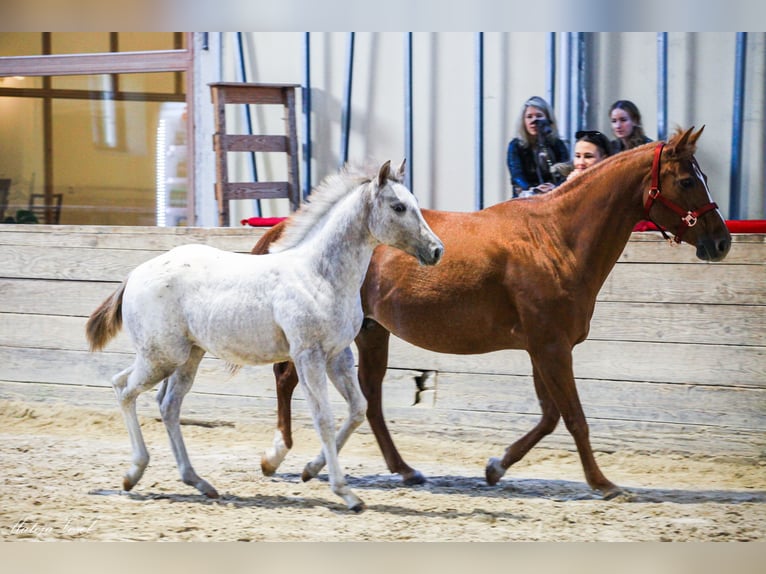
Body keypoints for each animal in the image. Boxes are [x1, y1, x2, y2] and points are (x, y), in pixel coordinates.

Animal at [250, 128, 732, 502]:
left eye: (704, 177)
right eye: (687, 180)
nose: (721, 242)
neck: (556, 239)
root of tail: (290, 228)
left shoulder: (541, 348)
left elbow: (550, 416)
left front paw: (496, 466)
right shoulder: (552, 347)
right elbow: (574, 418)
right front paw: (603, 483)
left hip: (371, 331)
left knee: (367, 397)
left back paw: (394, 469)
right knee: (289, 379)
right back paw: (278, 455)